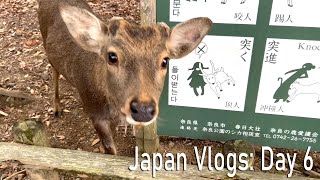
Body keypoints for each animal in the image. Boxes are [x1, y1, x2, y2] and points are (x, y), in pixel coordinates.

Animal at [37, 0, 212, 155]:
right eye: (112, 56)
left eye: (165, 60)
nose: (143, 109)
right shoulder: (95, 114)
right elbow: (111, 149)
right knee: (54, 70)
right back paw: (57, 109)